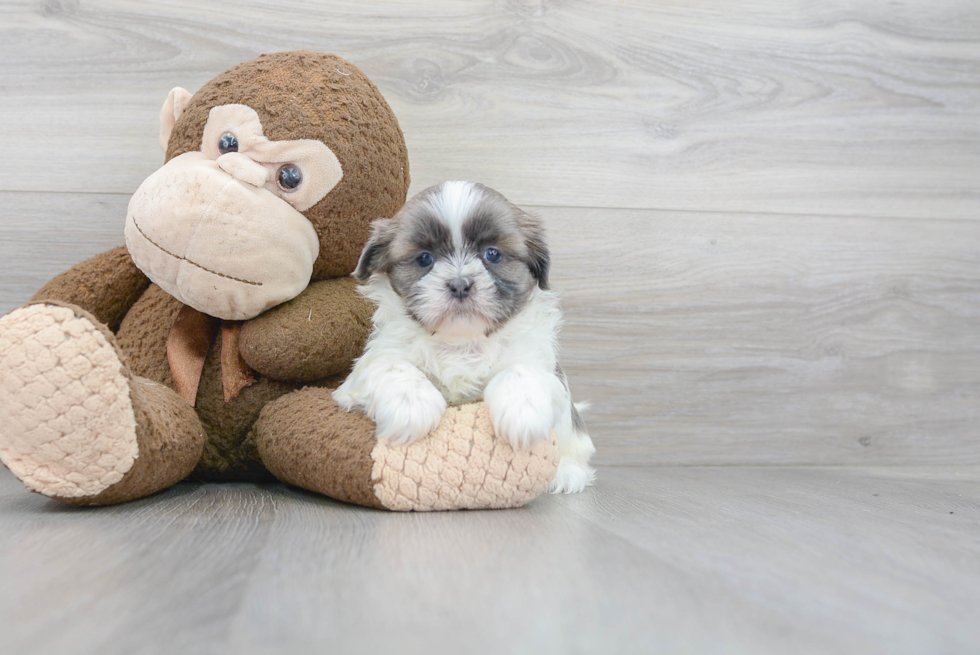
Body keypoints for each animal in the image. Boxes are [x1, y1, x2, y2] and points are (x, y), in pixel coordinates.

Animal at [334, 179, 596, 492]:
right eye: (424, 259)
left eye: (492, 254)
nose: (460, 284)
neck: (462, 343)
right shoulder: (372, 363)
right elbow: (391, 366)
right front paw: (410, 405)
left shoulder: (536, 357)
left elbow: (522, 371)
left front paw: (523, 411)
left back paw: (567, 472)